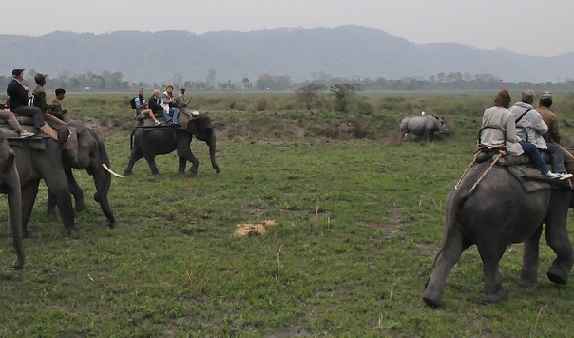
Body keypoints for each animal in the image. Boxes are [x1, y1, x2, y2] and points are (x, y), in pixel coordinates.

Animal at [424, 157, 574, 308]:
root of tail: (463, 191)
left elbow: (535, 233)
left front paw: (528, 285)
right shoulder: (560, 191)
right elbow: (554, 233)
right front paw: (557, 277)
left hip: (455, 216)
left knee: (451, 252)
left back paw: (431, 300)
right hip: (492, 218)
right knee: (491, 255)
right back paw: (498, 297)